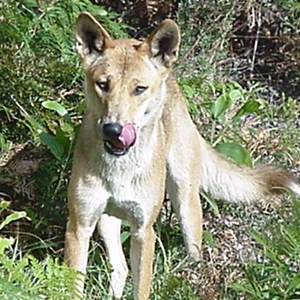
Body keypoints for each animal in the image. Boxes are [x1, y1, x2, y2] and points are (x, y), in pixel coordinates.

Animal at [64, 12, 298, 300]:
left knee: (191, 257)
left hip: (184, 201)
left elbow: (141, 288)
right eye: (103, 85)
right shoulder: (79, 226)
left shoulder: (144, 231)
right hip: (106, 222)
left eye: (139, 89)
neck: (119, 168)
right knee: (120, 268)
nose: (113, 129)